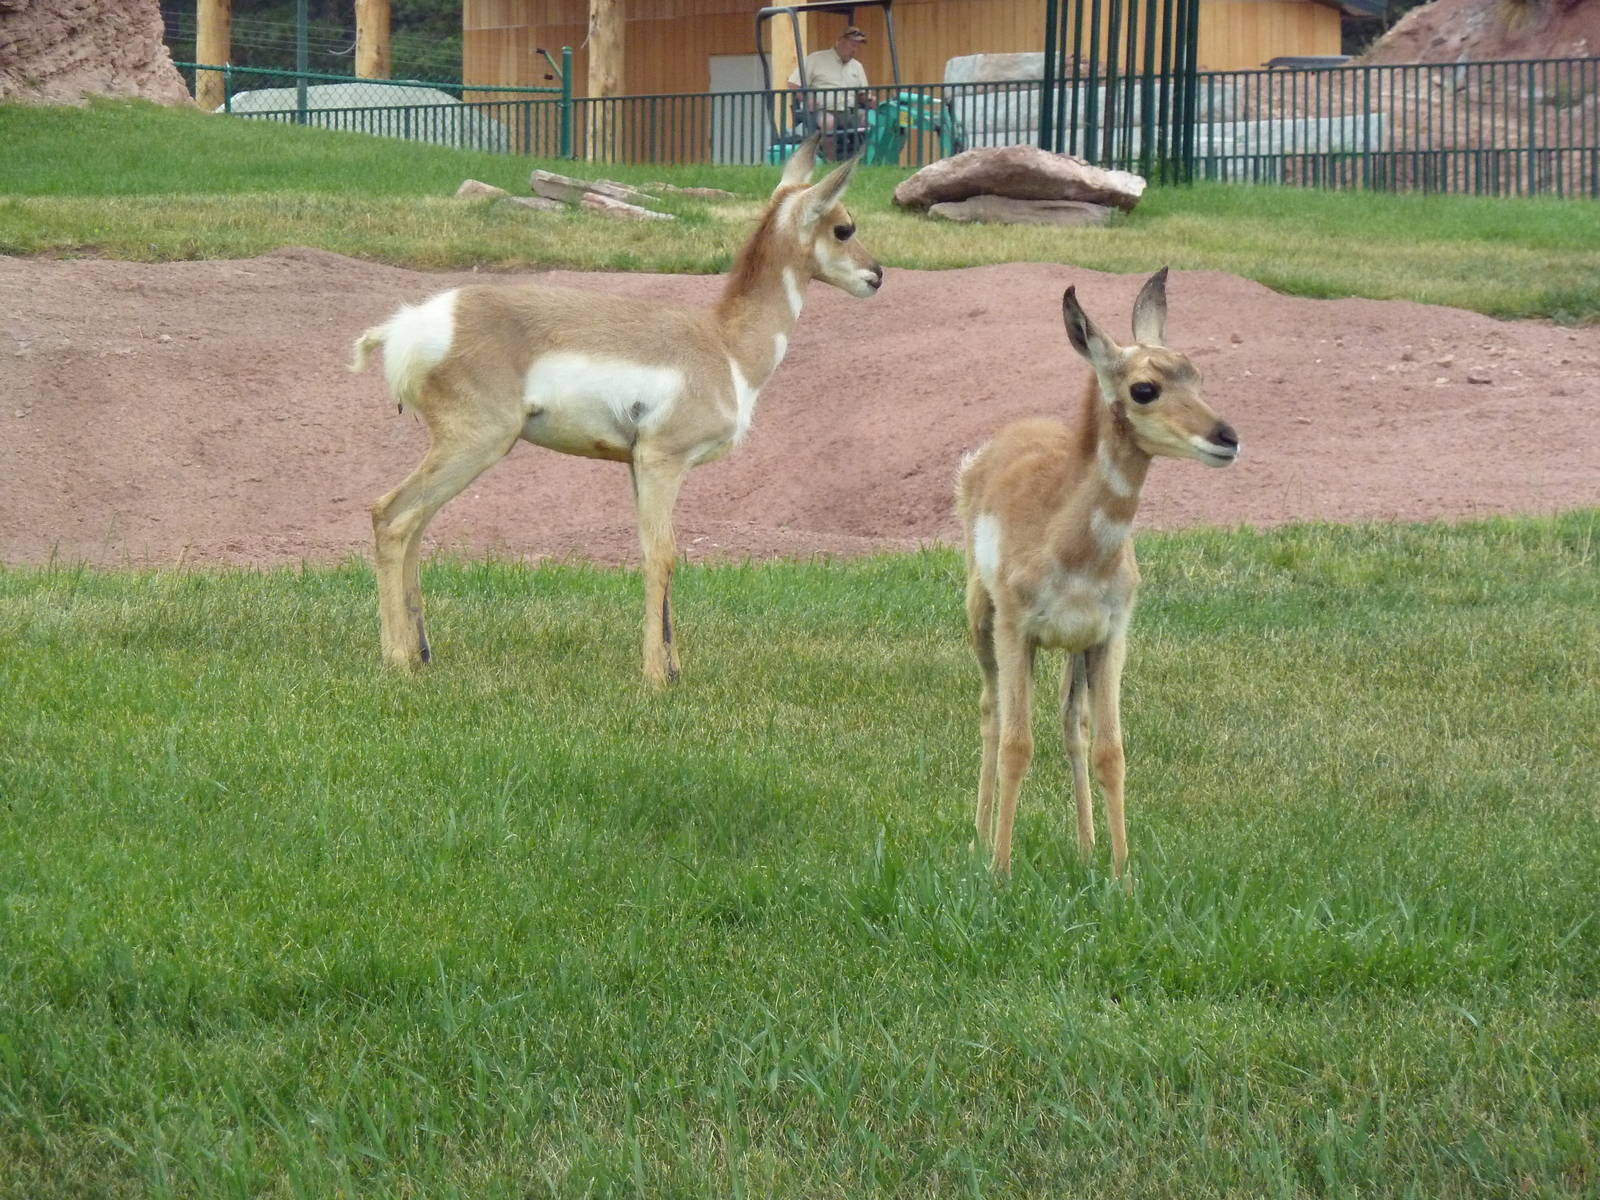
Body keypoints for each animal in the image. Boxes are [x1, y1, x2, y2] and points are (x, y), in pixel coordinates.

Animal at [350, 137, 881, 685]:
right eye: (844, 227)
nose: (877, 275)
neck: (723, 345)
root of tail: (409, 325)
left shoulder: (636, 466)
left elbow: (658, 554)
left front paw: (673, 667)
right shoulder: (662, 461)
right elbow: (661, 556)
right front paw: (656, 677)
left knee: (414, 526)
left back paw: (420, 653)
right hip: (475, 443)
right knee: (391, 516)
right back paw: (397, 659)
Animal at [955, 269, 1239, 880]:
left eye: (1197, 374)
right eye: (1144, 388)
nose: (1227, 438)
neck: (1073, 549)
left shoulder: (1110, 636)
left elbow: (1111, 749)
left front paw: (1119, 873)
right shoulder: (1017, 630)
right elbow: (1017, 743)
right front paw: (1001, 872)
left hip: (1073, 651)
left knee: (1072, 726)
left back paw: (1083, 849)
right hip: (981, 621)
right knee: (991, 713)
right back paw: (978, 840)